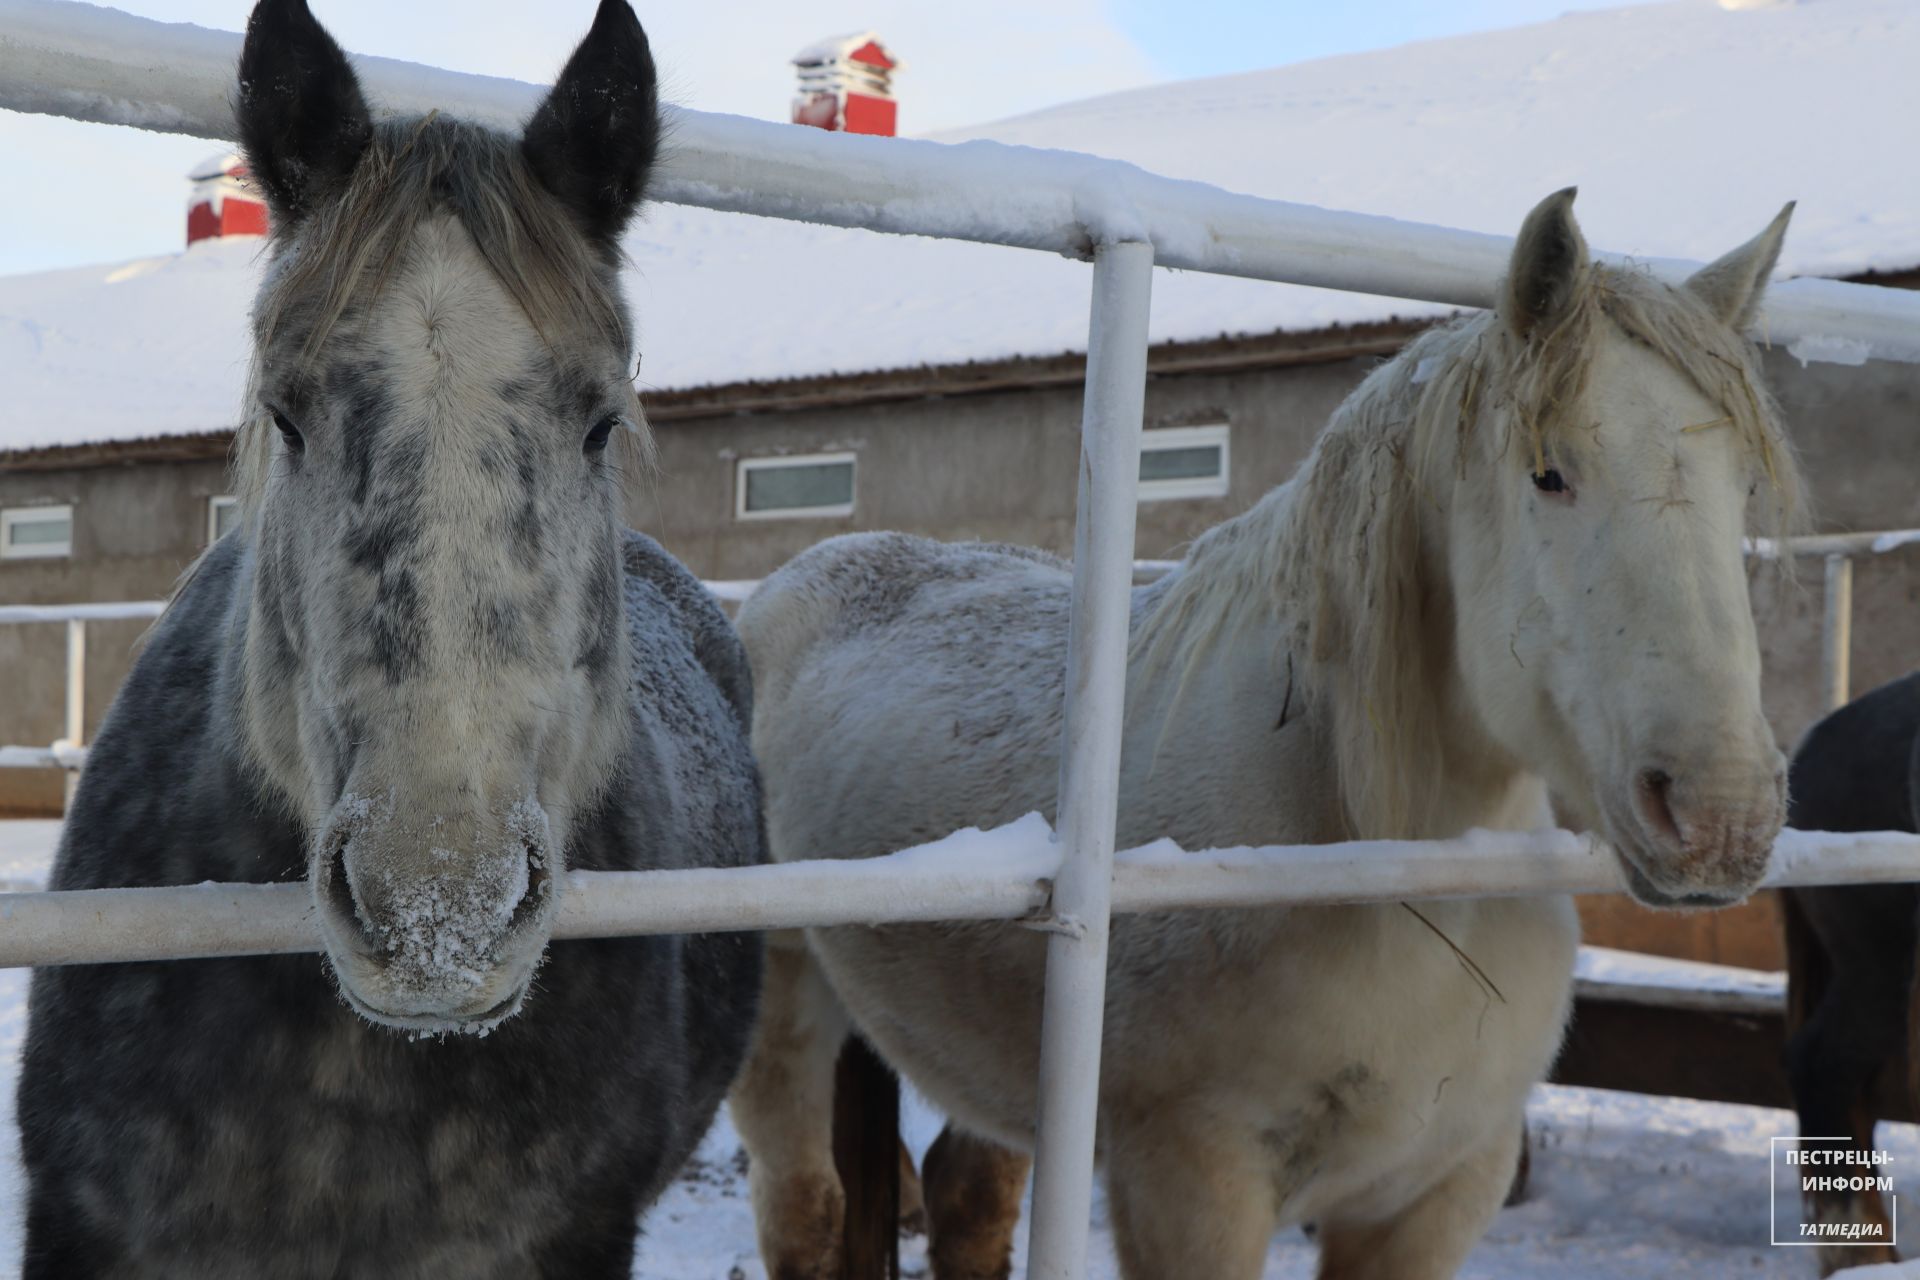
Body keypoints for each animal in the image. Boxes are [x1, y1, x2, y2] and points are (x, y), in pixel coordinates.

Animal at [728, 189, 1802, 1280]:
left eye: (1742, 489)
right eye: (1549, 473)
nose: (1722, 813)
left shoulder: (1439, 1190)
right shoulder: (1192, 1181)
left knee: (964, 1198)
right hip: (784, 1010)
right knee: (804, 1209)